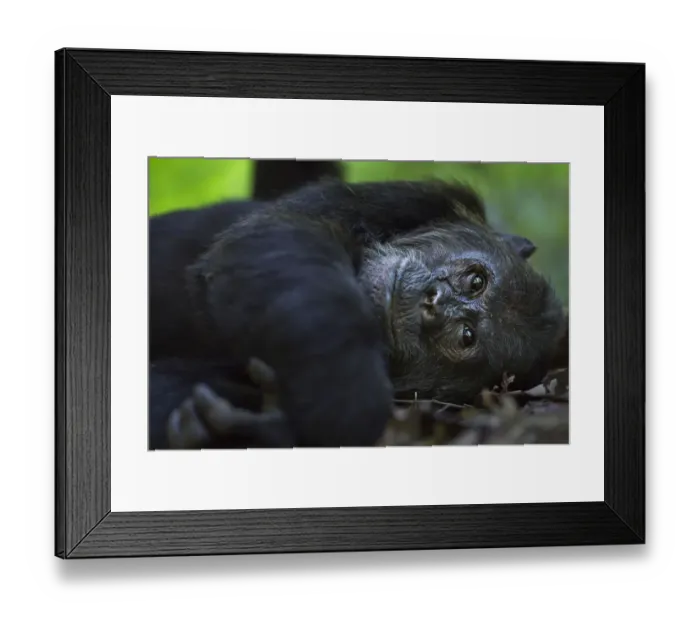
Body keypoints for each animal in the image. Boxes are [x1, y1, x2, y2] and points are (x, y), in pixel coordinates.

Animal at [148, 179, 566, 449]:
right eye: (476, 281)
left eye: (466, 336)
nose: (434, 303)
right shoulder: (409, 196)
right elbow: (278, 235)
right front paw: (349, 399)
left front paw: (267, 428)